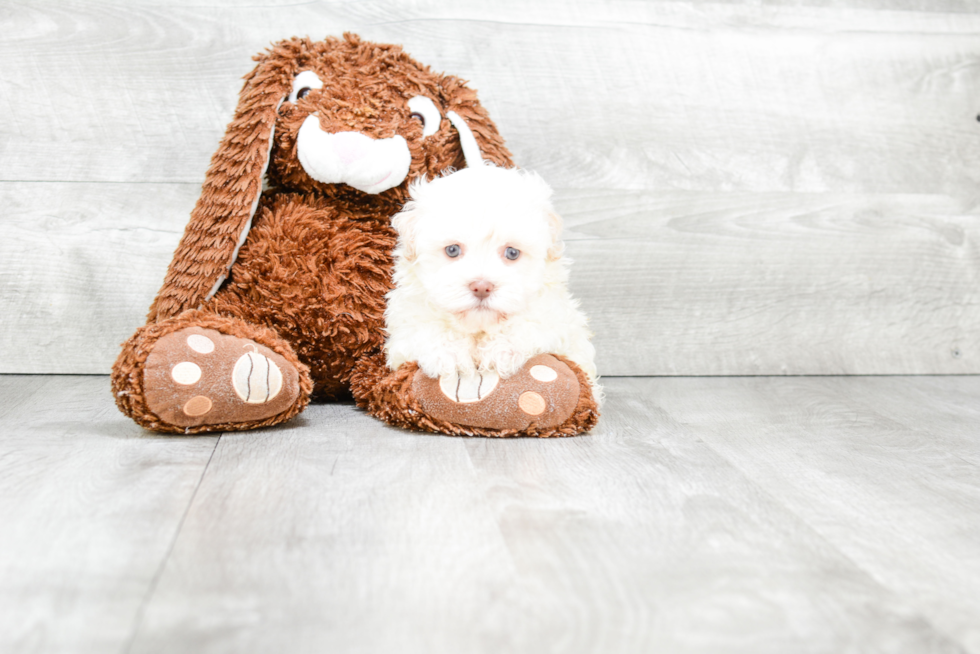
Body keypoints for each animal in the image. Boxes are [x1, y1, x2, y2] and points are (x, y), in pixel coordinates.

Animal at [382, 165, 596, 400]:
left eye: (512, 253)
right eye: (452, 250)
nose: (482, 287)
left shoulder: (559, 320)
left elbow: (532, 321)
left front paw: (502, 348)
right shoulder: (406, 323)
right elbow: (423, 327)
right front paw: (449, 353)